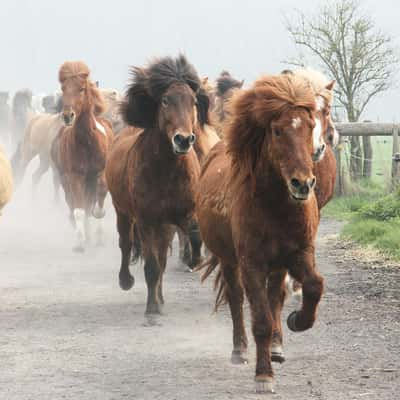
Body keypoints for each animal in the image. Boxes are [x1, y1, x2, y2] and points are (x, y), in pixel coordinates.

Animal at [51, 61, 113, 252]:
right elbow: (79, 209)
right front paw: (80, 241)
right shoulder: (75, 176)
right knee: (75, 204)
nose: (67, 116)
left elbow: (99, 198)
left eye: (81, 88)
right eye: (63, 88)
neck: (87, 142)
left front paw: (98, 216)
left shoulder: (100, 173)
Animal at [104, 54, 208, 314]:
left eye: (193, 101)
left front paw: (194, 260)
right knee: (126, 243)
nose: (183, 139)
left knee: (161, 256)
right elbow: (151, 264)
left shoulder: (182, 213)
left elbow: (193, 234)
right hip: (123, 211)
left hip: (164, 225)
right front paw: (152, 309)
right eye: (165, 100)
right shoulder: (147, 220)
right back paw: (127, 281)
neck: (167, 171)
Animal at [197, 73, 324, 392]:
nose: (303, 184)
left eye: (310, 126)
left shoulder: (300, 254)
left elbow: (313, 286)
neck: (276, 206)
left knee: (275, 296)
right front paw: (264, 376)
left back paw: (278, 347)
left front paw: (297, 320)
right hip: (230, 261)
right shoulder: (251, 263)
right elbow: (260, 321)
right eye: (277, 131)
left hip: (277, 265)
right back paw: (240, 350)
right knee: (236, 298)